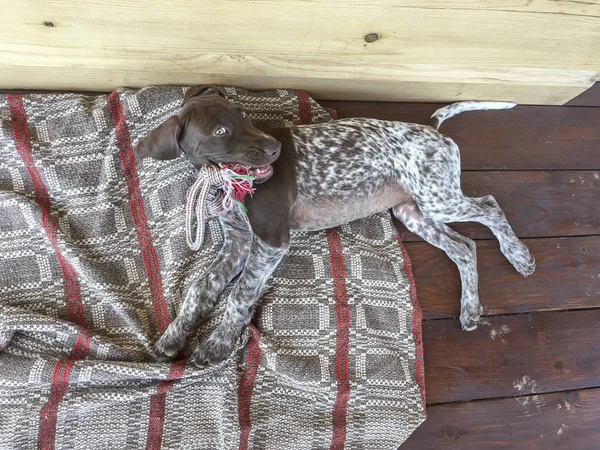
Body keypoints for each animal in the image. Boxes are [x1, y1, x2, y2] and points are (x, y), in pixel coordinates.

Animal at [135, 86, 536, 368]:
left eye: (244, 116)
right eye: (221, 130)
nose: (277, 149)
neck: (225, 180)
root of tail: (432, 130)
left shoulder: (271, 241)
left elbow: (238, 295)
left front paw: (217, 343)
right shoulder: (238, 244)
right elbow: (201, 288)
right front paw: (174, 335)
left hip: (437, 198)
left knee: (490, 206)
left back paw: (518, 254)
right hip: (414, 212)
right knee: (465, 247)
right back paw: (470, 307)